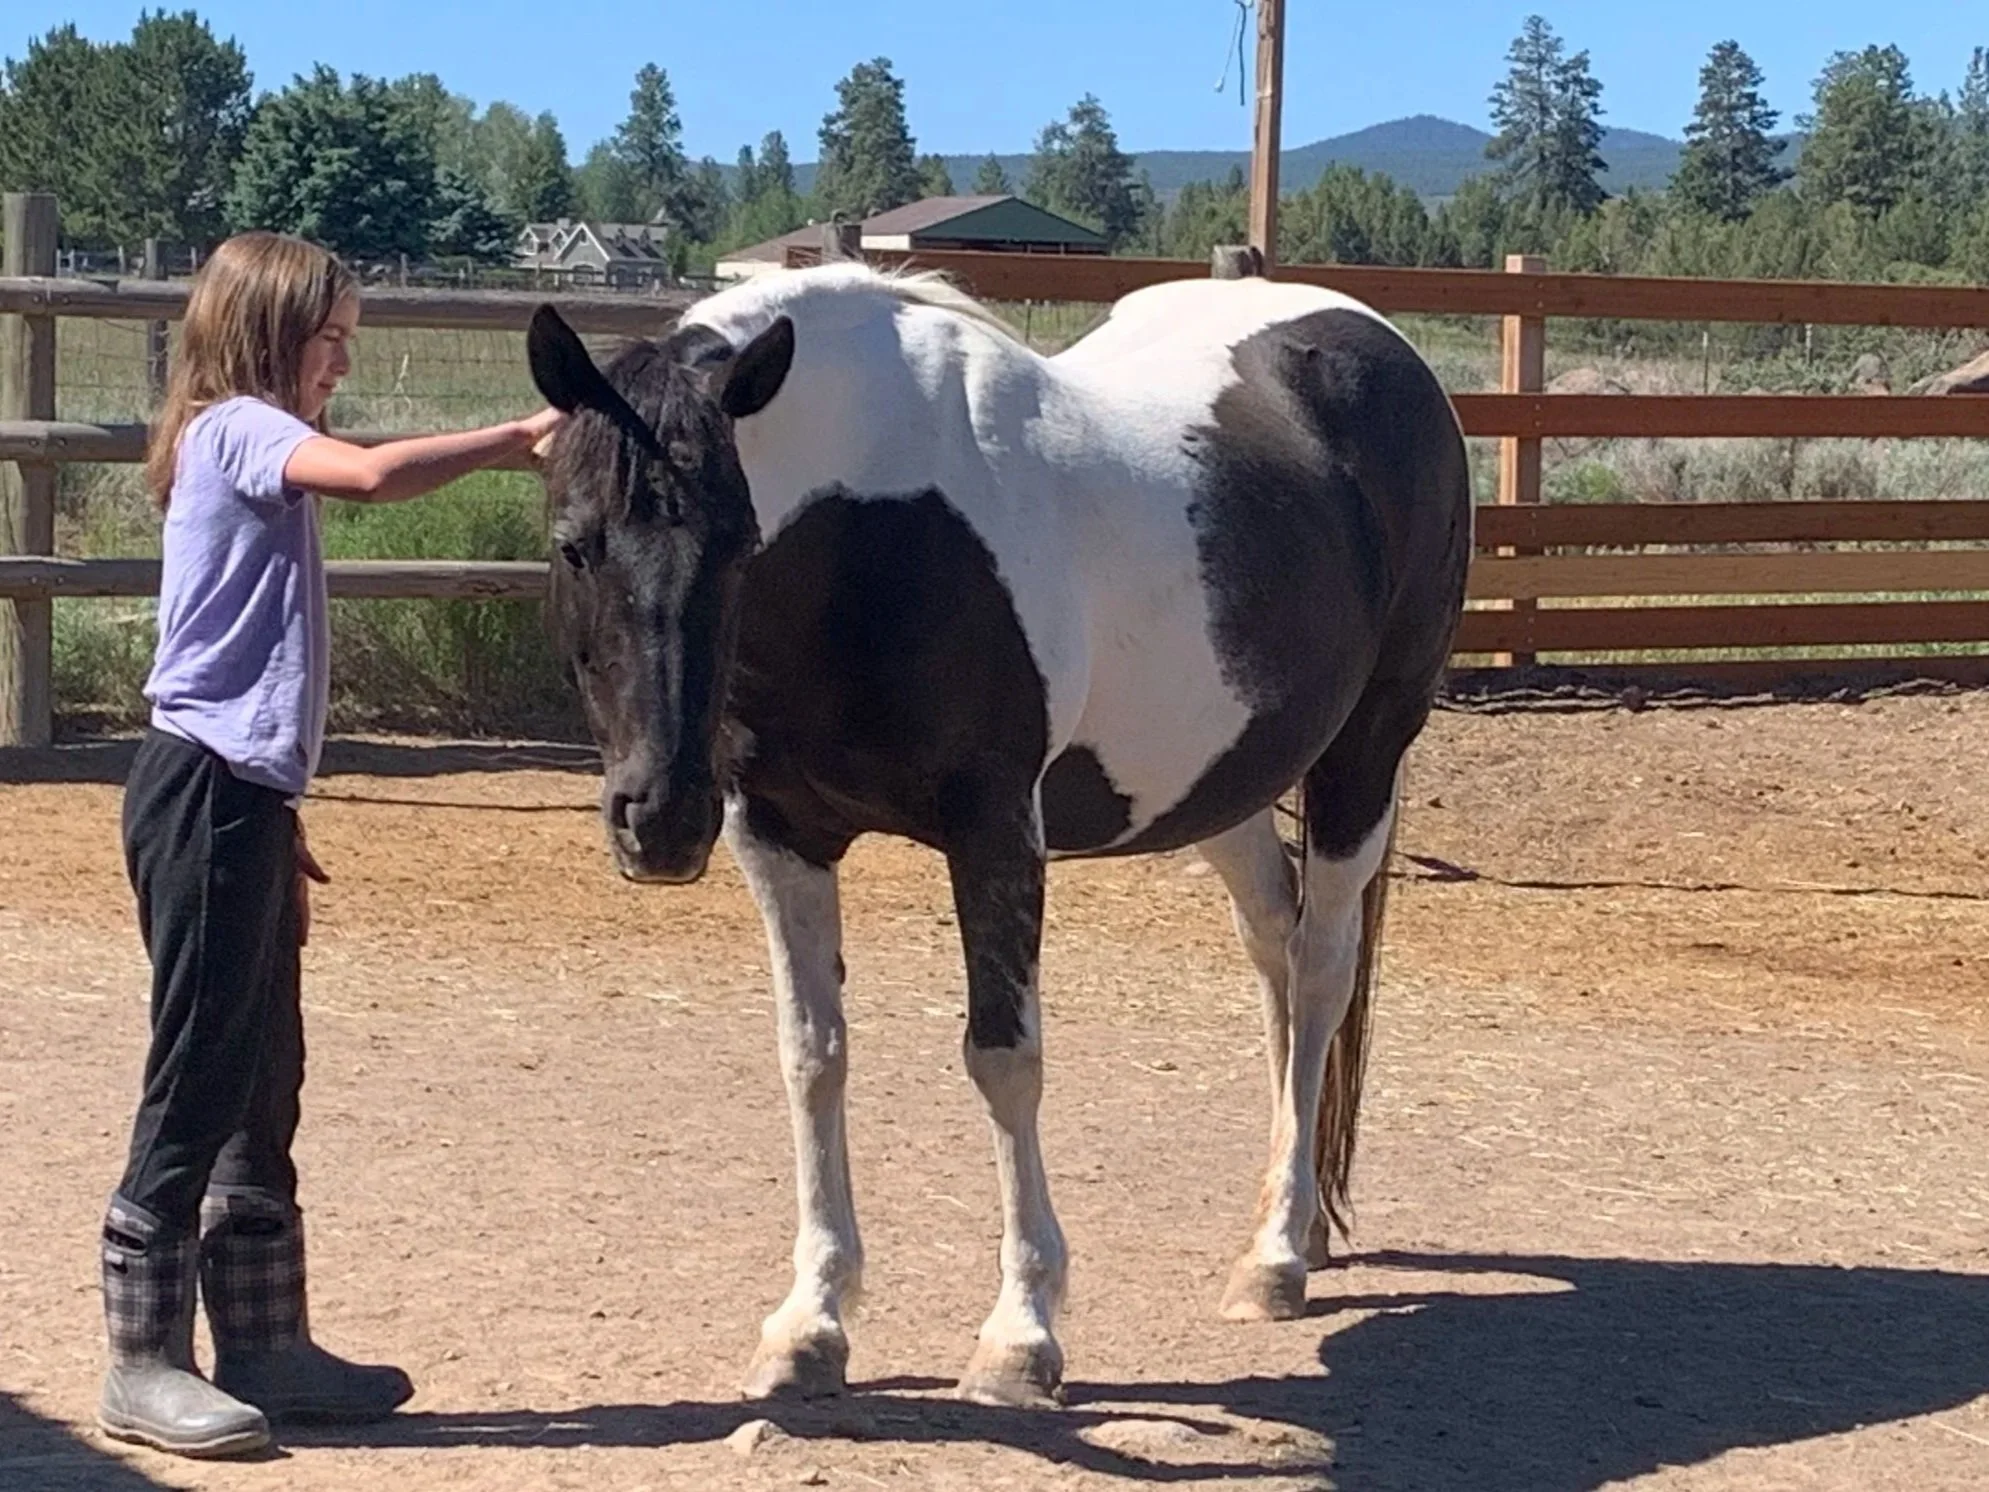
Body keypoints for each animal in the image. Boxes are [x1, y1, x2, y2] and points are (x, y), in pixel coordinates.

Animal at [523, 260, 1471, 1407]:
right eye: (574, 545)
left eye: (739, 548)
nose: (660, 820)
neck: (875, 528)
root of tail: (1381, 350)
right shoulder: (778, 832)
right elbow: (812, 1056)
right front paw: (811, 1323)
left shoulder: (995, 827)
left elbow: (1003, 1058)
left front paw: (1021, 1335)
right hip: (1220, 780)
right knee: (1276, 954)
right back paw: (1288, 1223)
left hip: (1362, 755)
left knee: (1324, 966)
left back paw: (1277, 1258)